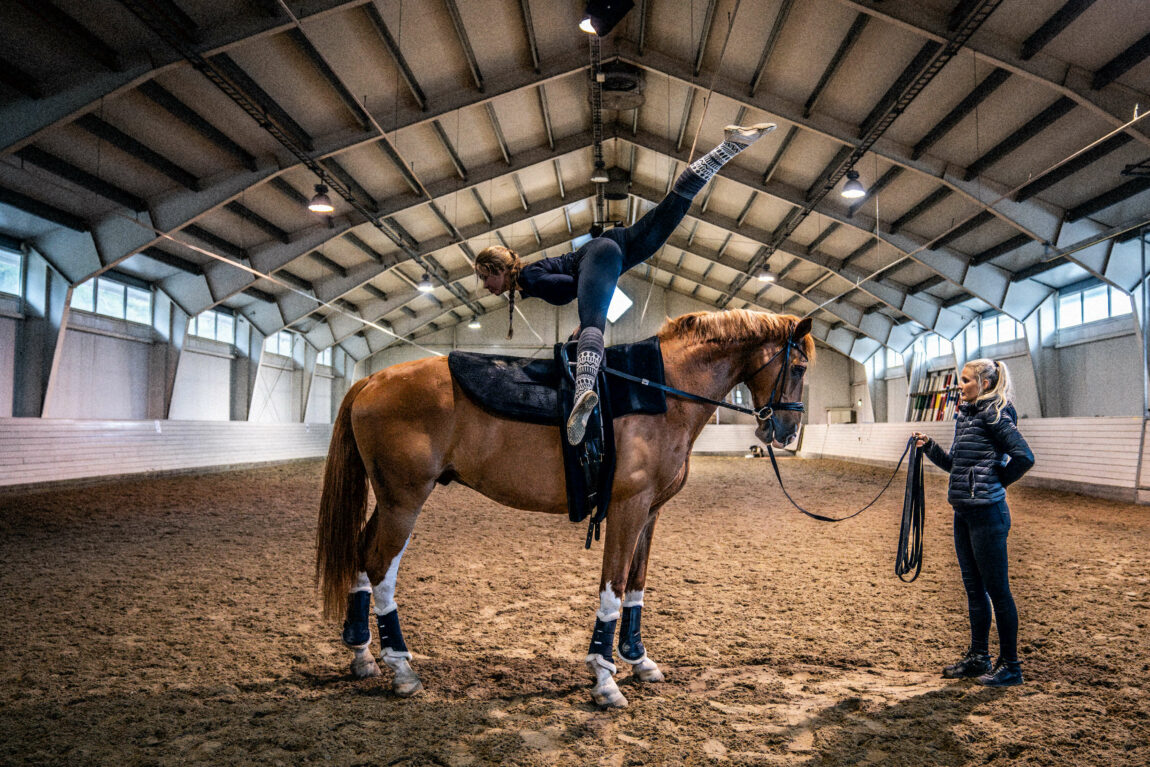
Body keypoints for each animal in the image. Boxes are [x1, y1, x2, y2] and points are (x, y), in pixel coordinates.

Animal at [319, 310, 814, 708]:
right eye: (799, 365)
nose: (788, 431)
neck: (662, 391)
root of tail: (370, 380)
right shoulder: (628, 508)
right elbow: (613, 586)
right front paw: (604, 678)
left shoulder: (651, 512)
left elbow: (636, 584)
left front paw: (639, 660)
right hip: (404, 501)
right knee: (380, 568)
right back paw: (401, 669)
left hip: (389, 501)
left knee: (362, 557)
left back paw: (362, 655)